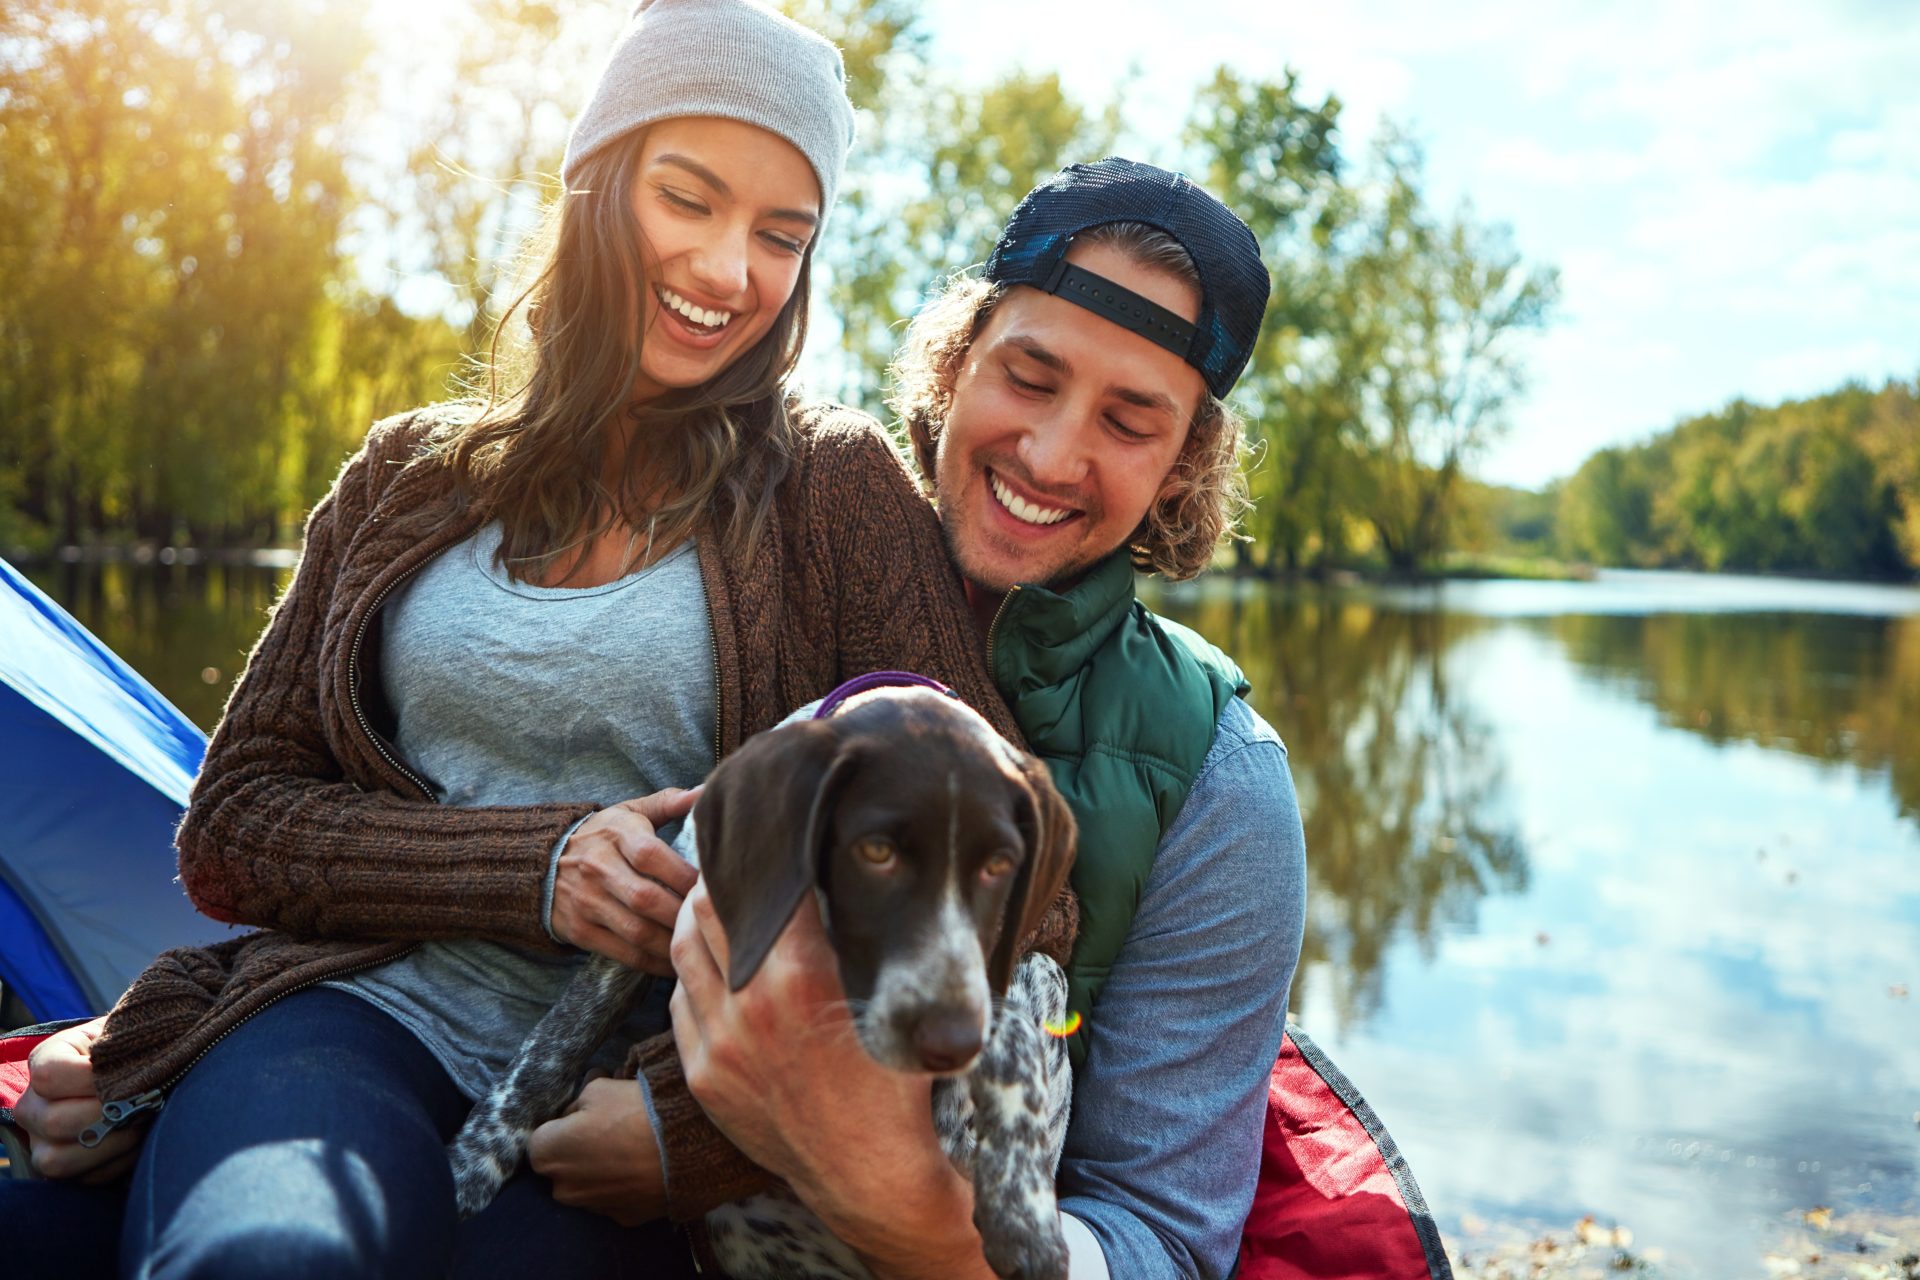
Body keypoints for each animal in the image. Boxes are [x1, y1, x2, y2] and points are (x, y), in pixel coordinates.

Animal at [449, 679, 1082, 1280]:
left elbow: (1014, 1041)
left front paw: (1022, 1210)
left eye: (1000, 866)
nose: (945, 1047)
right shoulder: (660, 913)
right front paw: (478, 1156)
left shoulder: (990, 965)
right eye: (876, 852)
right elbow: (559, 1039)